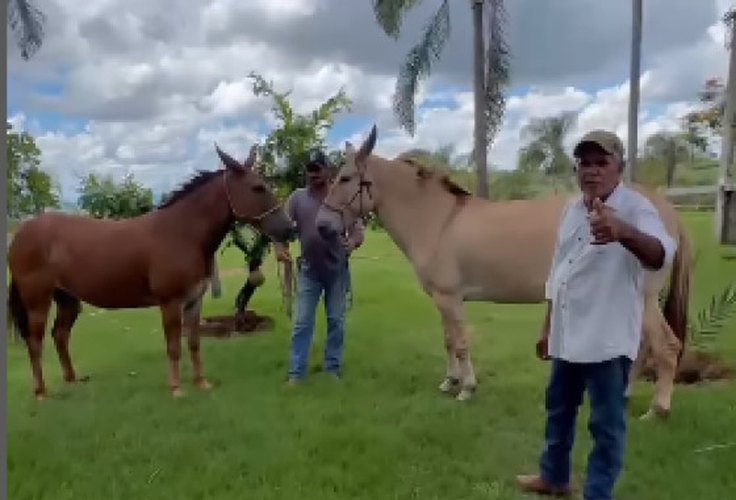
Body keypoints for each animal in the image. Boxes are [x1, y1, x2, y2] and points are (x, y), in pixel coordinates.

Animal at [314, 125, 688, 418]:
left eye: (345, 178)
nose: (321, 225)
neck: (438, 220)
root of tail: (664, 207)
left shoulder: (450, 298)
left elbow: (461, 343)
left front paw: (466, 388)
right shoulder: (441, 300)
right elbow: (448, 341)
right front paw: (449, 382)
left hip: (645, 298)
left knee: (666, 347)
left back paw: (658, 409)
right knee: (643, 348)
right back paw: (625, 396)